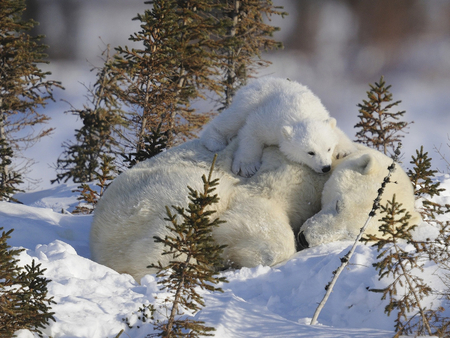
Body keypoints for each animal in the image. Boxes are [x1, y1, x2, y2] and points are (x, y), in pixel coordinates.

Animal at [200, 76, 356, 177]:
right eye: (310, 152)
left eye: (329, 148)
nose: (325, 167)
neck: (302, 113)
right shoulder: (269, 120)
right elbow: (251, 131)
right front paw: (247, 167)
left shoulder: (321, 113)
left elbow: (336, 131)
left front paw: (344, 150)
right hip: (250, 100)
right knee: (232, 118)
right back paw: (214, 141)